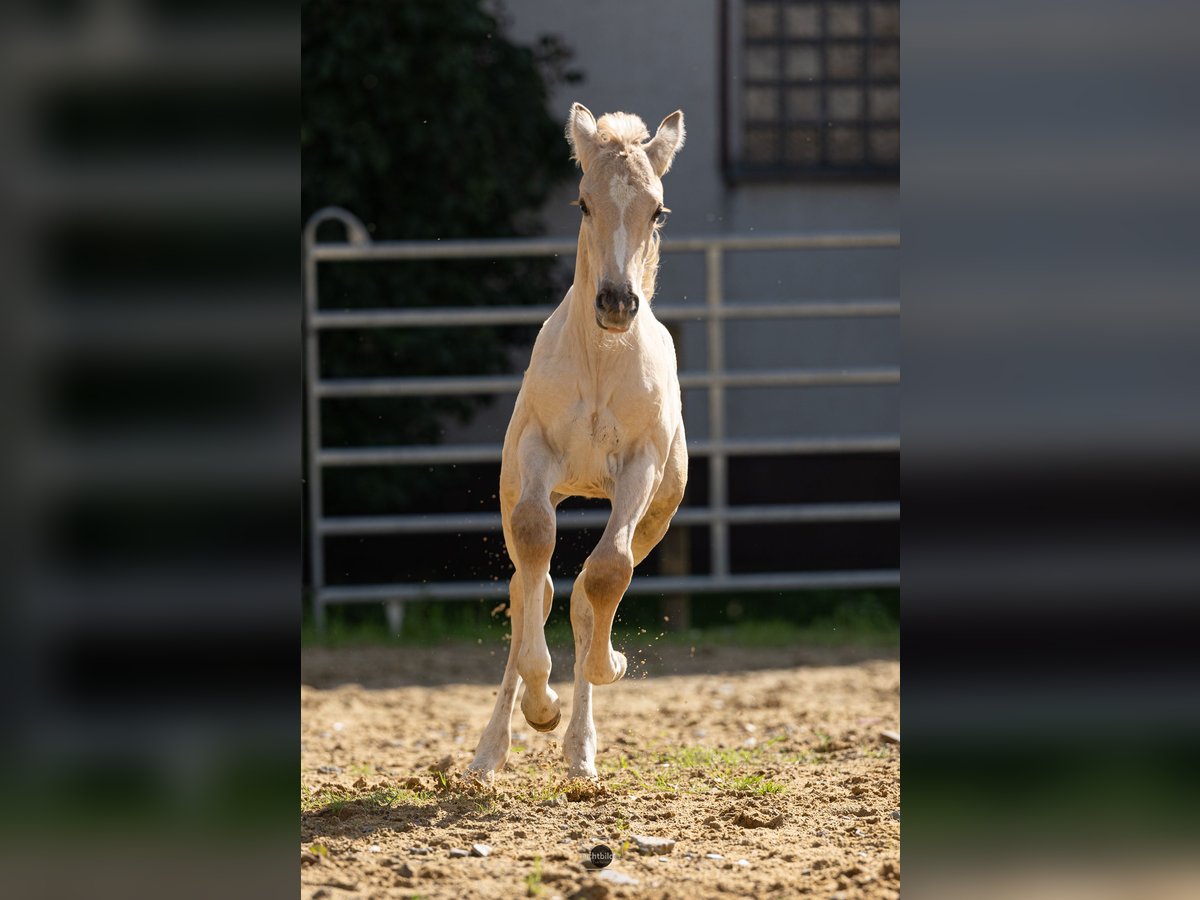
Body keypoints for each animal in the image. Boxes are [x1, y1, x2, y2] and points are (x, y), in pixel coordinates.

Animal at [465, 105, 686, 782]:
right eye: (585, 203)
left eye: (657, 210)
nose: (616, 303)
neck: (601, 361)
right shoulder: (536, 459)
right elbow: (537, 551)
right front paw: (541, 706)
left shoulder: (640, 469)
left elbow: (606, 575)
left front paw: (610, 666)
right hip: (519, 488)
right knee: (527, 592)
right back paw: (489, 752)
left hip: (656, 515)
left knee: (590, 590)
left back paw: (581, 754)